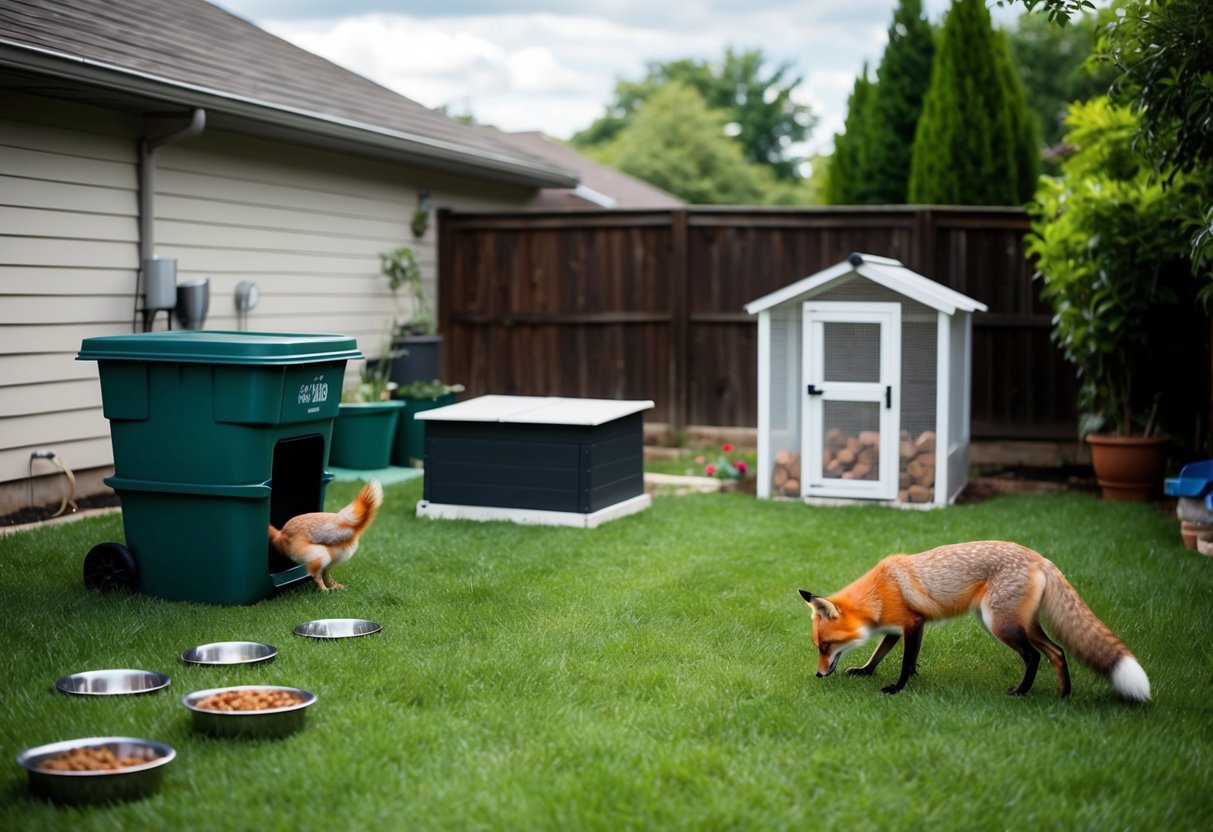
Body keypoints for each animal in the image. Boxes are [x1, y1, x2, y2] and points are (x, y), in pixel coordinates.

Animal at [799, 540, 1150, 701]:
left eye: (826, 645)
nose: (818, 675)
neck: (880, 593)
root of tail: (1040, 557)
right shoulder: (896, 630)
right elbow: (878, 655)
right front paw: (864, 671)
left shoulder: (914, 624)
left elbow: (905, 663)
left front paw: (897, 689)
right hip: (1017, 624)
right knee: (1058, 651)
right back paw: (1063, 695)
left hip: (1000, 625)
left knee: (1035, 655)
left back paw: (1021, 692)